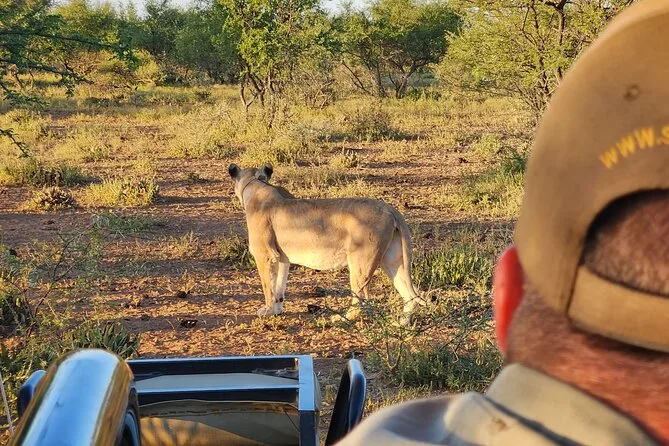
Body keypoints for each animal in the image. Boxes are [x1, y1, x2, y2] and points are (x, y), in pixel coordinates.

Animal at [228, 163, 423, 324]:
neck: (257, 183)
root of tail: (391, 210)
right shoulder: (282, 258)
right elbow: (279, 287)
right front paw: (277, 310)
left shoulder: (265, 255)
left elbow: (268, 286)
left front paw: (267, 311)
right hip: (393, 260)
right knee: (409, 294)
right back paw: (401, 323)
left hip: (360, 261)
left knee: (361, 299)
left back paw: (341, 318)